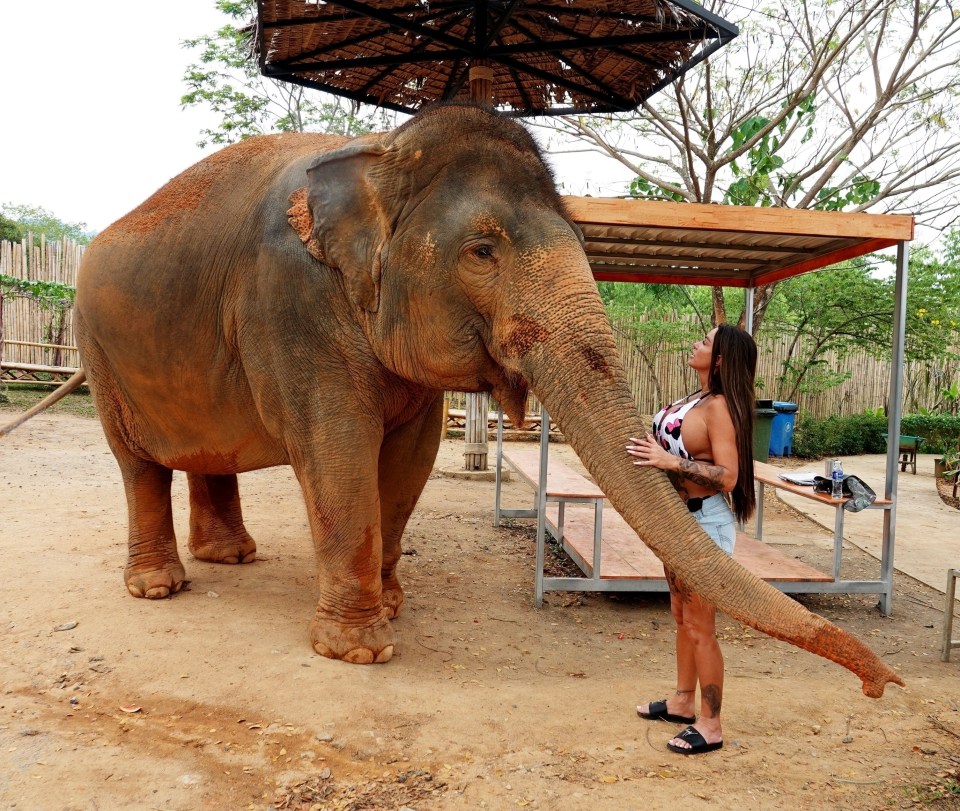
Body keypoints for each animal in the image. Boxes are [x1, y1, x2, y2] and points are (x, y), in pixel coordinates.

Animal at [1, 104, 900, 696]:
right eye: (482, 250)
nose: (882, 683)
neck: (380, 152)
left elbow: (408, 456)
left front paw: (392, 604)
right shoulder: (287, 302)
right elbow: (336, 450)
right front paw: (359, 650)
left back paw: (233, 558)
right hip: (101, 351)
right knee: (136, 463)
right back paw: (160, 587)